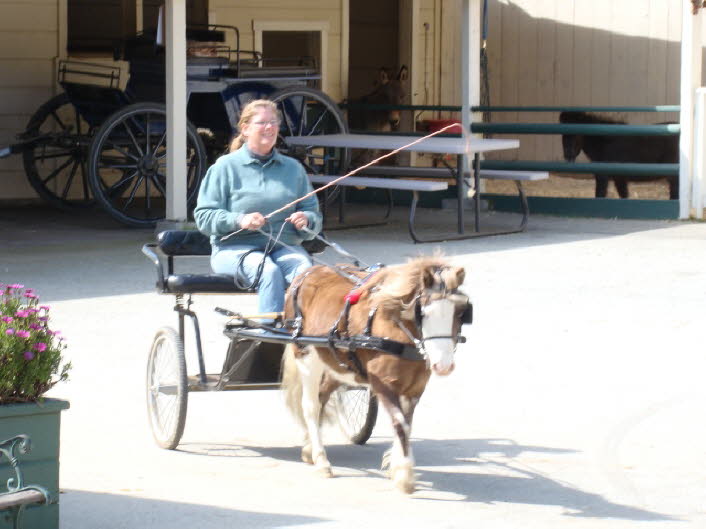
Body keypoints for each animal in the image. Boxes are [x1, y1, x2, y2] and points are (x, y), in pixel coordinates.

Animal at [280, 258, 468, 492]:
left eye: (460, 312)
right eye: (422, 313)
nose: (443, 366)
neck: (395, 329)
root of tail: (306, 272)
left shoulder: (414, 388)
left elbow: (406, 423)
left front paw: (397, 466)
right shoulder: (383, 385)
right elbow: (400, 422)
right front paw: (405, 474)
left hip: (337, 364)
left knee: (322, 397)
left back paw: (308, 449)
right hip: (306, 354)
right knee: (311, 406)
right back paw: (321, 460)